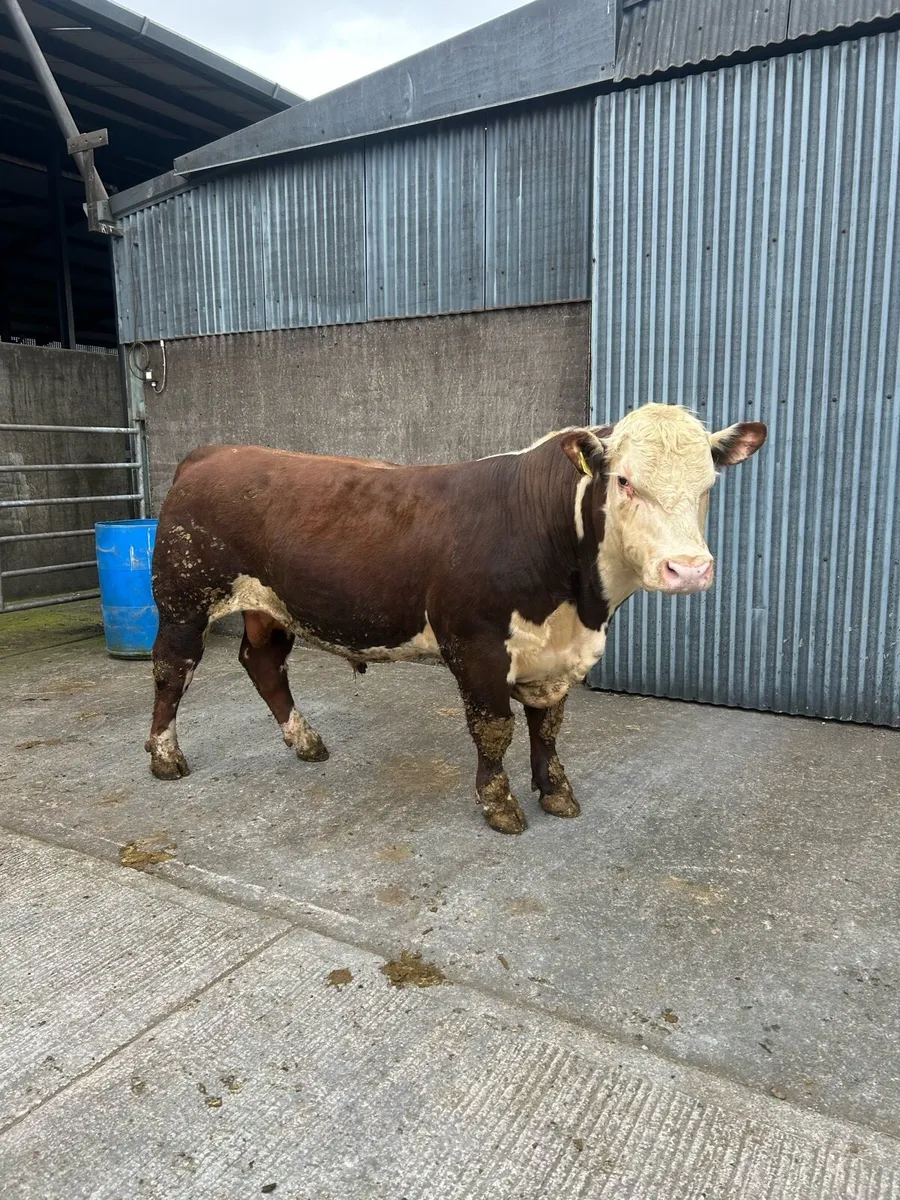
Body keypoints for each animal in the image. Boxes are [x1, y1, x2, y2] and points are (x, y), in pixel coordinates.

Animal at [146, 403, 766, 833]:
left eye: (708, 486)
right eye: (624, 481)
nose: (688, 569)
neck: (579, 605)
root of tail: (215, 452)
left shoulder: (555, 653)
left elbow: (548, 726)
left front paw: (556, 792)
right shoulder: (476, 644)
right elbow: (495, 729)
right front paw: (499, 804)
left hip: (267, 607)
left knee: (263, 663)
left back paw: (305, 741)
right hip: (183, 600)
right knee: (173, 670)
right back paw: (166, 757)